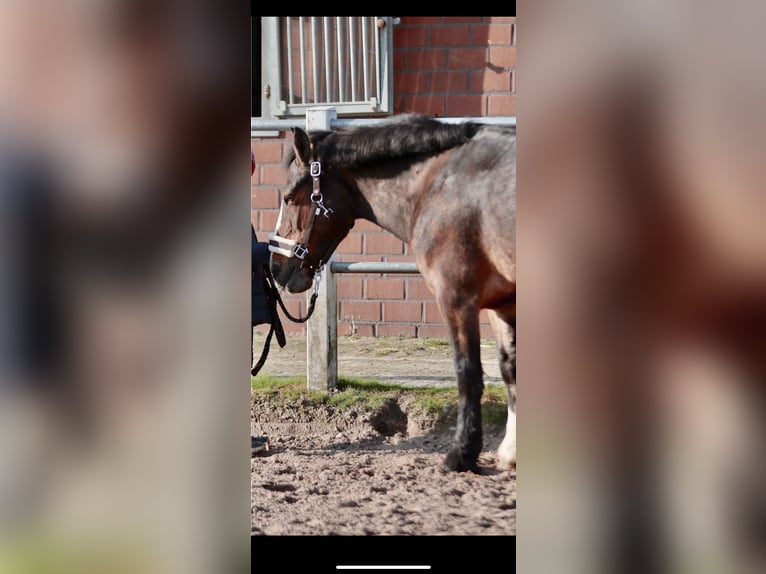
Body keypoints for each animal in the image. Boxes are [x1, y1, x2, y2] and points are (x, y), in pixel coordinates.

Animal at [268, 113, 516, 472]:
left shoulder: (456, 297)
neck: (435, 184)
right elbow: (509, 368)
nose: (275, 268)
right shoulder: (503, 302)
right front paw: (510, 451)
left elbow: (467, 371)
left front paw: (462, 453)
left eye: (288, 197)